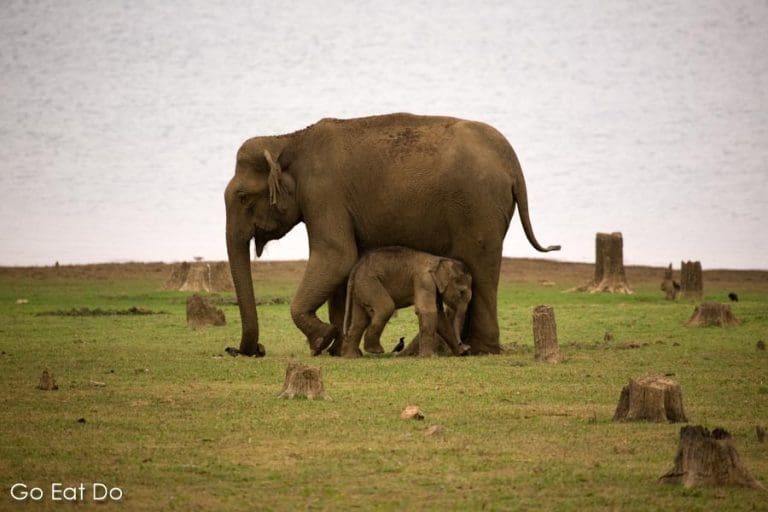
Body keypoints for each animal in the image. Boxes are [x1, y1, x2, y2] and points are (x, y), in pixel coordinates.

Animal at [344, 247, 474, 358]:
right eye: (461, 292)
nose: (465, 346)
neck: (440, 260)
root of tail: (356, 267)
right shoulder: (424, 280)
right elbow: (428, 310)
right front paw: (430, 357)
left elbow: (440, 316)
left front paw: (461, 352)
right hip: (369, 282)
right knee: (386, 307)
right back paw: (375, 350)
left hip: (361, 287)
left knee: (360, 320)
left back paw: (352, 356)